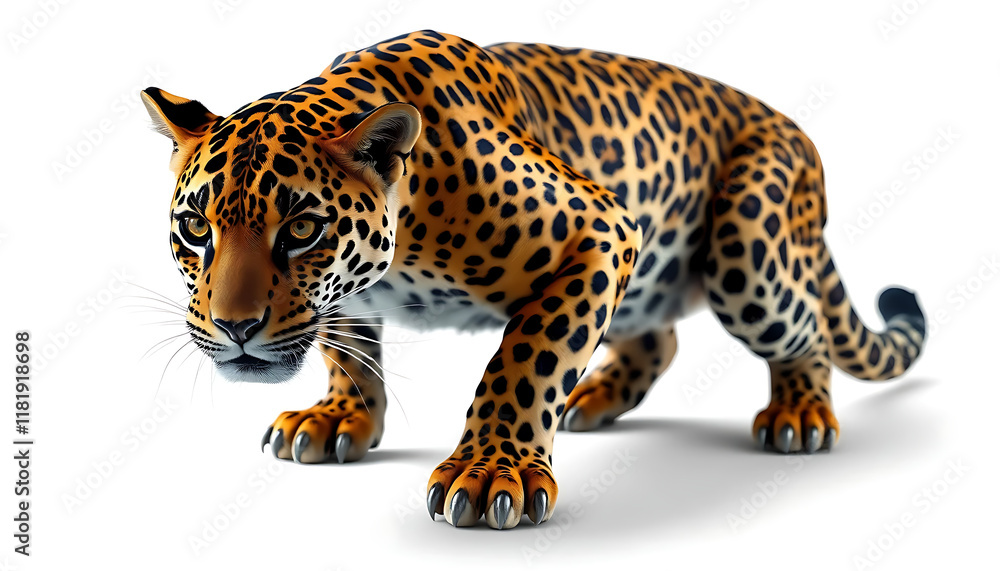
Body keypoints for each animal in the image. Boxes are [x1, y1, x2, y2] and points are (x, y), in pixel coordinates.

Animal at [141, 30, 926, 529]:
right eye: (196, 229)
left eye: (302, 229)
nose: (235, 328)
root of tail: (794, 130)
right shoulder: (349, 299)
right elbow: (349, 349)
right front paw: (338, 418)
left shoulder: (602, 227)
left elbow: (527, 358)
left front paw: (493, 473)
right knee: (658, 341)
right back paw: (595, 400)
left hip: (749, 252)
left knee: (806, 329)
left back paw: (799, 415)